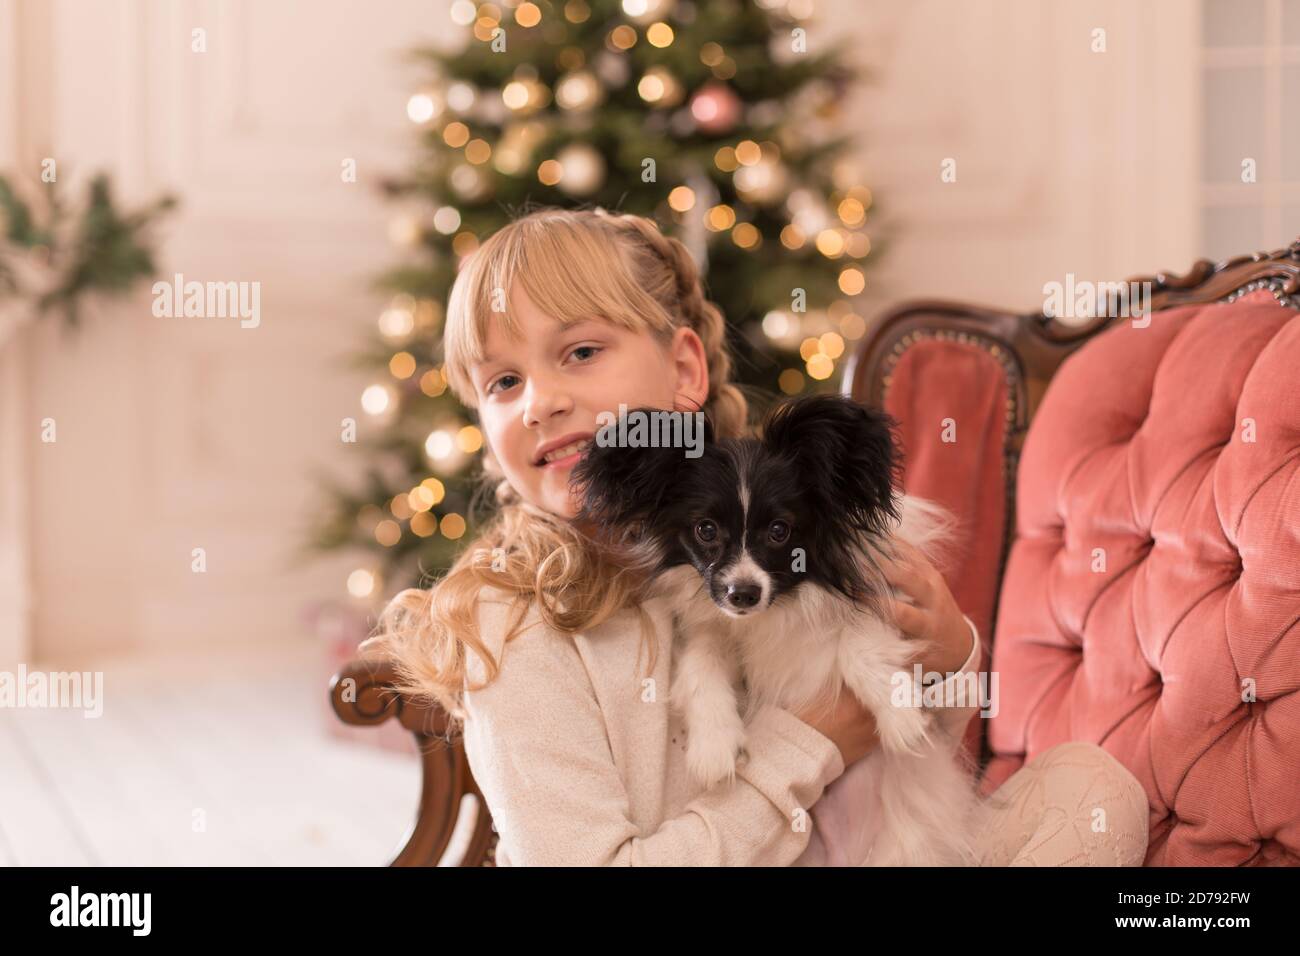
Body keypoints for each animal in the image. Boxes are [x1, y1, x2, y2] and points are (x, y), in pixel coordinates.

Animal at [574, 395, 987, 868]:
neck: (784, 604)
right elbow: (702, 661)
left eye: (779, 531)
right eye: (706, 530)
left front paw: (900, 713)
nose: (742, 593)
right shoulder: (715, 624)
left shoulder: (890, 596)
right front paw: (713, 744)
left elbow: (858, 644)